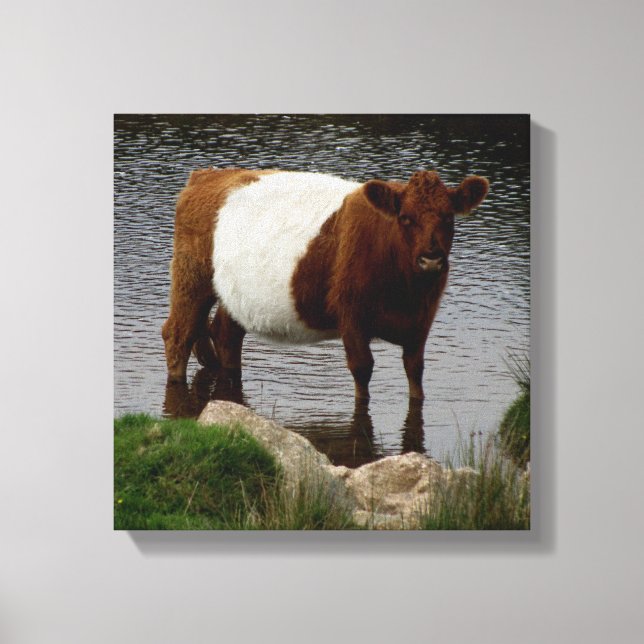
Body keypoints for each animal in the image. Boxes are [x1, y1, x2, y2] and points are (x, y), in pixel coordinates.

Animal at [161, 168, 489, 400]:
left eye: (448, 218)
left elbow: (415, 373)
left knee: (225, 334)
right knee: (178, 333)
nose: (431, 259)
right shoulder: (352, 317)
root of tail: (208, 174)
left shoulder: (422, 321)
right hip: (192, 276)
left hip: (234, 293)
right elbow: (362, 372)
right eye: (405, 218)